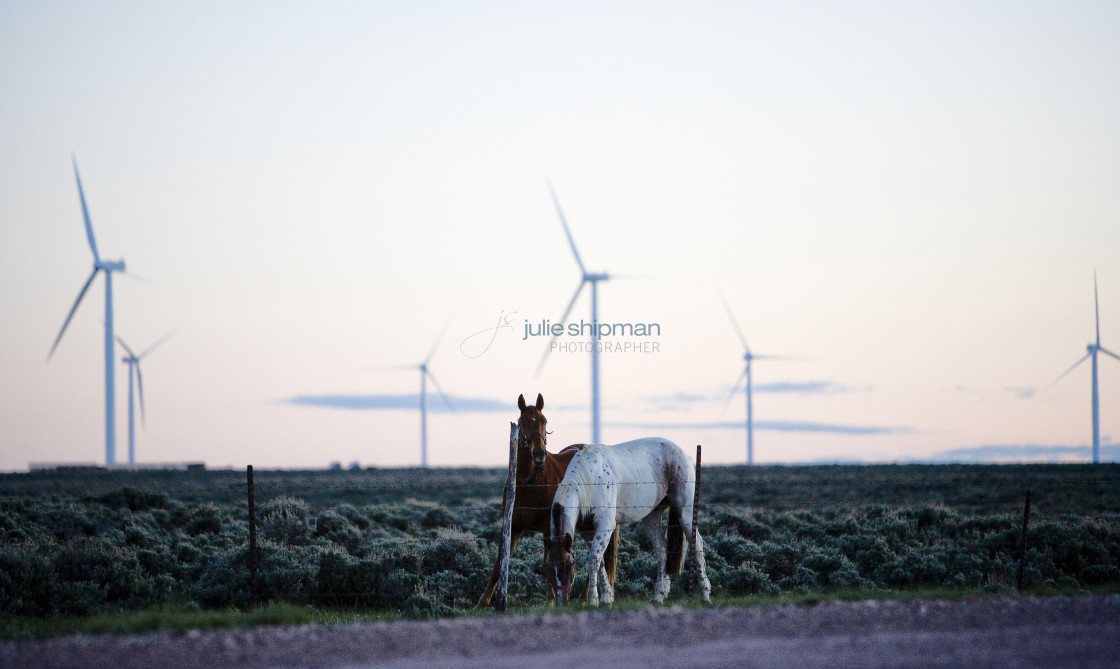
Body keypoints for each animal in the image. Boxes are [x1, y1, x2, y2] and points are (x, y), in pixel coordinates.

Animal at [474, 392, 622, 605]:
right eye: (523, 423)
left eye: (544, 421)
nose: (539, 453)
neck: (529, 482)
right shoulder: (512, 526)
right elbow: (499, 564)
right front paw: (482, 603)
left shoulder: (547, 528)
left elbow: (548, 561)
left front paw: (551, 600)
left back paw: (585, 597)